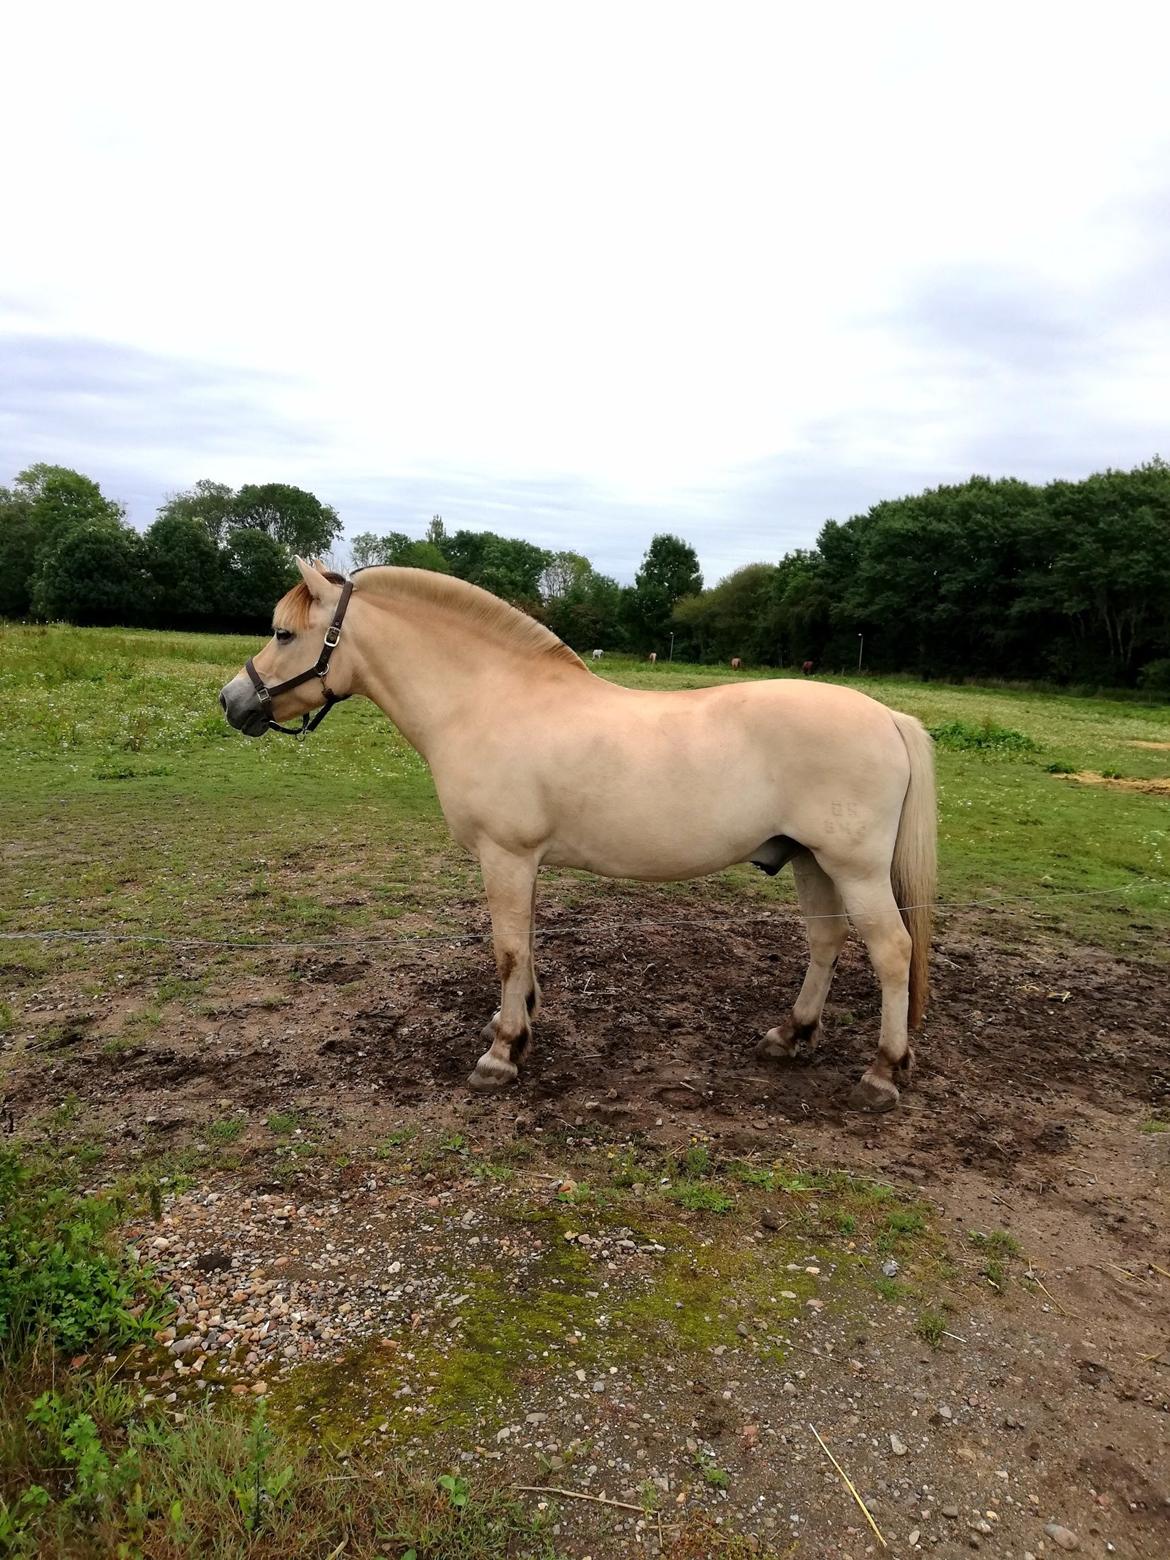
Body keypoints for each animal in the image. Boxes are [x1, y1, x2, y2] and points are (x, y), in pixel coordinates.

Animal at [218, 561, 935, 1110]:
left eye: (283, 632)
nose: (232, 701)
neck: (488, 700)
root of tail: (889, 717)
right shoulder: (521, 861)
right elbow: (526, 944)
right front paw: (521, 1020)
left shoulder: (505, 855)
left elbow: (508, 950)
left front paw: (502, 1052)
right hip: (812, 861)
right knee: (826, 942)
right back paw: (792, 1034)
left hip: (854, 868)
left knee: (892, 952)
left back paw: (881, 1072)